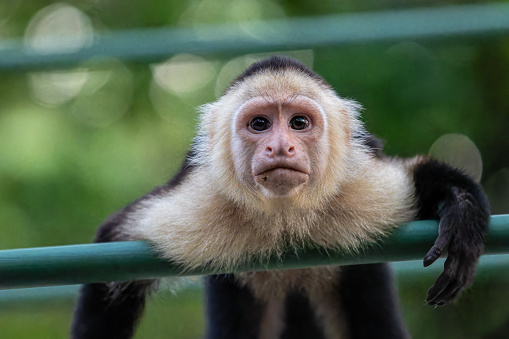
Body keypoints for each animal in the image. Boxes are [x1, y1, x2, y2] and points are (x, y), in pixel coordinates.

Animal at [69, 56, 490, 339]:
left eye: (298, 123)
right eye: (260, 124)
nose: (280, 147)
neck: (284, 217)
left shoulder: (362, 187)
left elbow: (415, 178)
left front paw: (461, 212)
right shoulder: (198, 204)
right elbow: (116, 244)